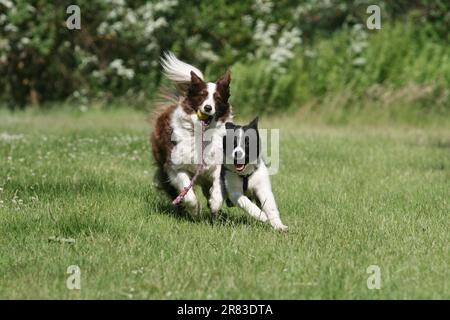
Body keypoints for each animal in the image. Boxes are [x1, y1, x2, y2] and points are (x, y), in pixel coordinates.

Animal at [151, 52, 230, 215]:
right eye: (202, 95)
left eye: (217, 98)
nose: (207, 108)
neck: (201, 134)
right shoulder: (175, 166)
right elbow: (187, 192)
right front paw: (194, 210)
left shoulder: (216, 162)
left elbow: (218, 183)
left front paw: (215, 202)